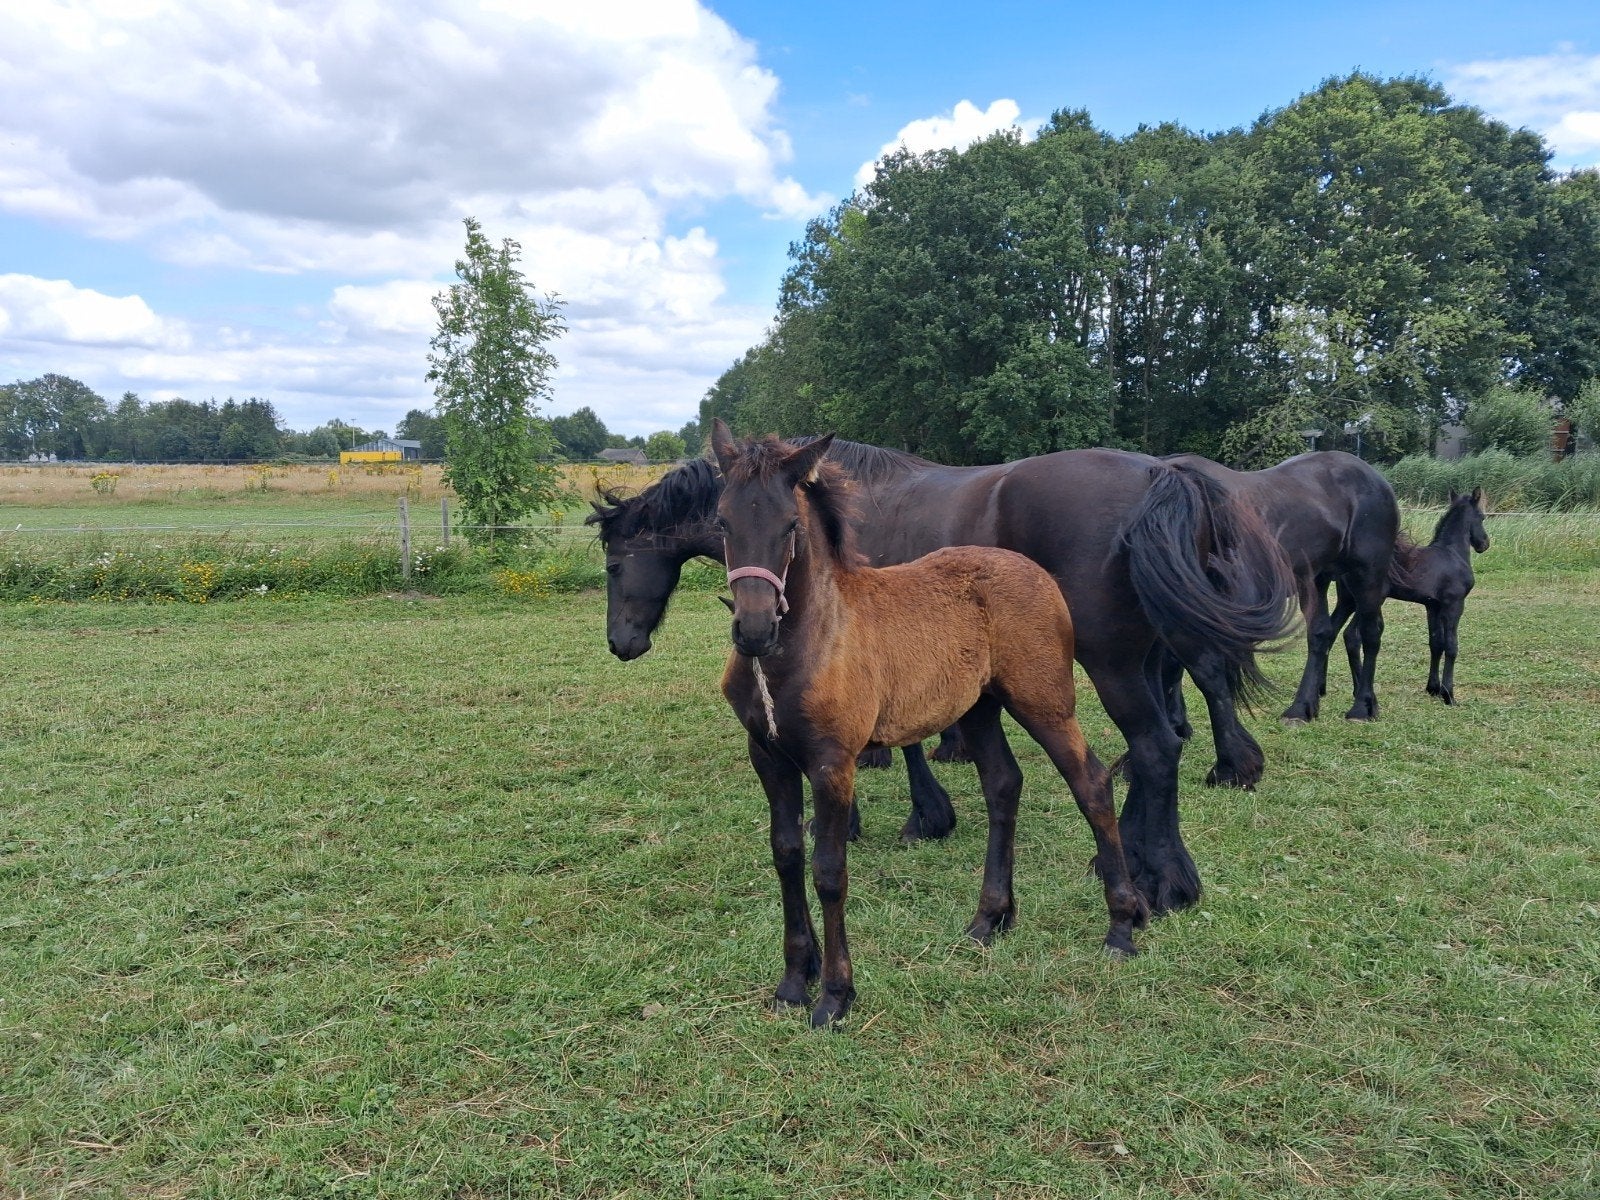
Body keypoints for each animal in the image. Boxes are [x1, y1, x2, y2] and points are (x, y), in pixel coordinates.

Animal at [588, 435, 1295, 916]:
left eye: (615, 565)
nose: (621, 643)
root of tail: (1160, 475)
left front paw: (910, 814)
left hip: (1112, 663)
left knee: (1154, 745)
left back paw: (1160, 874)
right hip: (1149, 654)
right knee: (1169, 734)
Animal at [710, 422, 1148, 1027]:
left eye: (790, 525)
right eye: (722, 521)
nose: (754, 631)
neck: (807, 642)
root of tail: (1037, 572)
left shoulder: (832, 762)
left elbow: (828, 869)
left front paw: (835, 995)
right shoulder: (768, 756)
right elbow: (787, 855)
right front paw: (795, 979)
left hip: (1045, 702)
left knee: (1092, 784)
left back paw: (1121, 927)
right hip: (980, 707)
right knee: (1003, 784)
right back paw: (990, 918)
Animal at [1159, 451, 1400, 724]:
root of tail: (1376, 478)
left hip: (1367, 576)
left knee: (1370, 633)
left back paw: (1362, 706)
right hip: (1315, 580)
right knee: (1320, 634)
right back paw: (1303, 706)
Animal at [1369, 487, 1489, 704]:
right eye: (1482, 516)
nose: (1484, 544)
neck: (1452, 554)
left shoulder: (1433, 606)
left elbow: (1436, 643)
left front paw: (1433, 688)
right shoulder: (1454, 605)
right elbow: (1451, 646)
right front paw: (1449, 694)